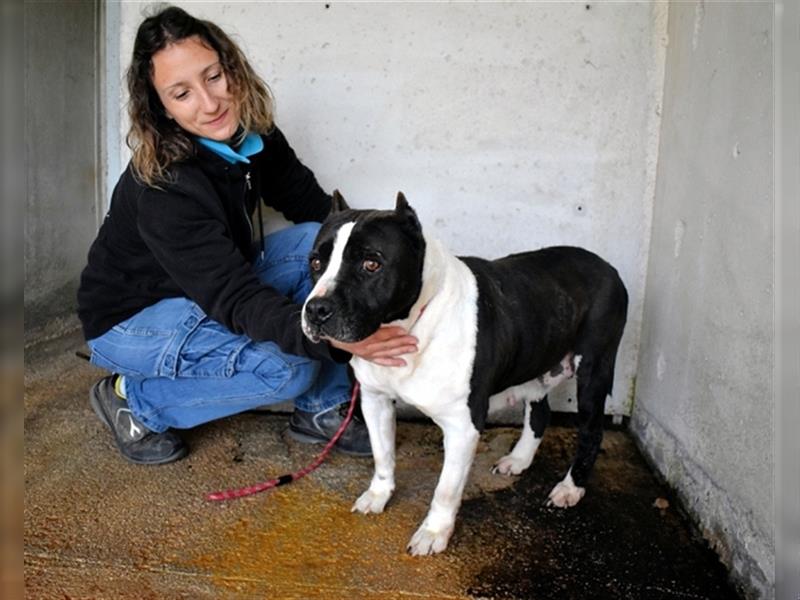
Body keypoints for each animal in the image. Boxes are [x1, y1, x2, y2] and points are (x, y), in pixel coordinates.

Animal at [300, 191, 624, 552]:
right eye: (315, 263)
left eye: (371, 264)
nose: (316, 310)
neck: (413, 322)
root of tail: (607, 267)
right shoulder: (374, 401)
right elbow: (382, 455)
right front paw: (378, 494)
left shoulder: (462, 426)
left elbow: (446, 488)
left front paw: (434, 533)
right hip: (536, 360)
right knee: (539, 413)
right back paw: (519, 460)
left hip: (594, 369)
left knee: (592, 431)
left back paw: (570, 488)